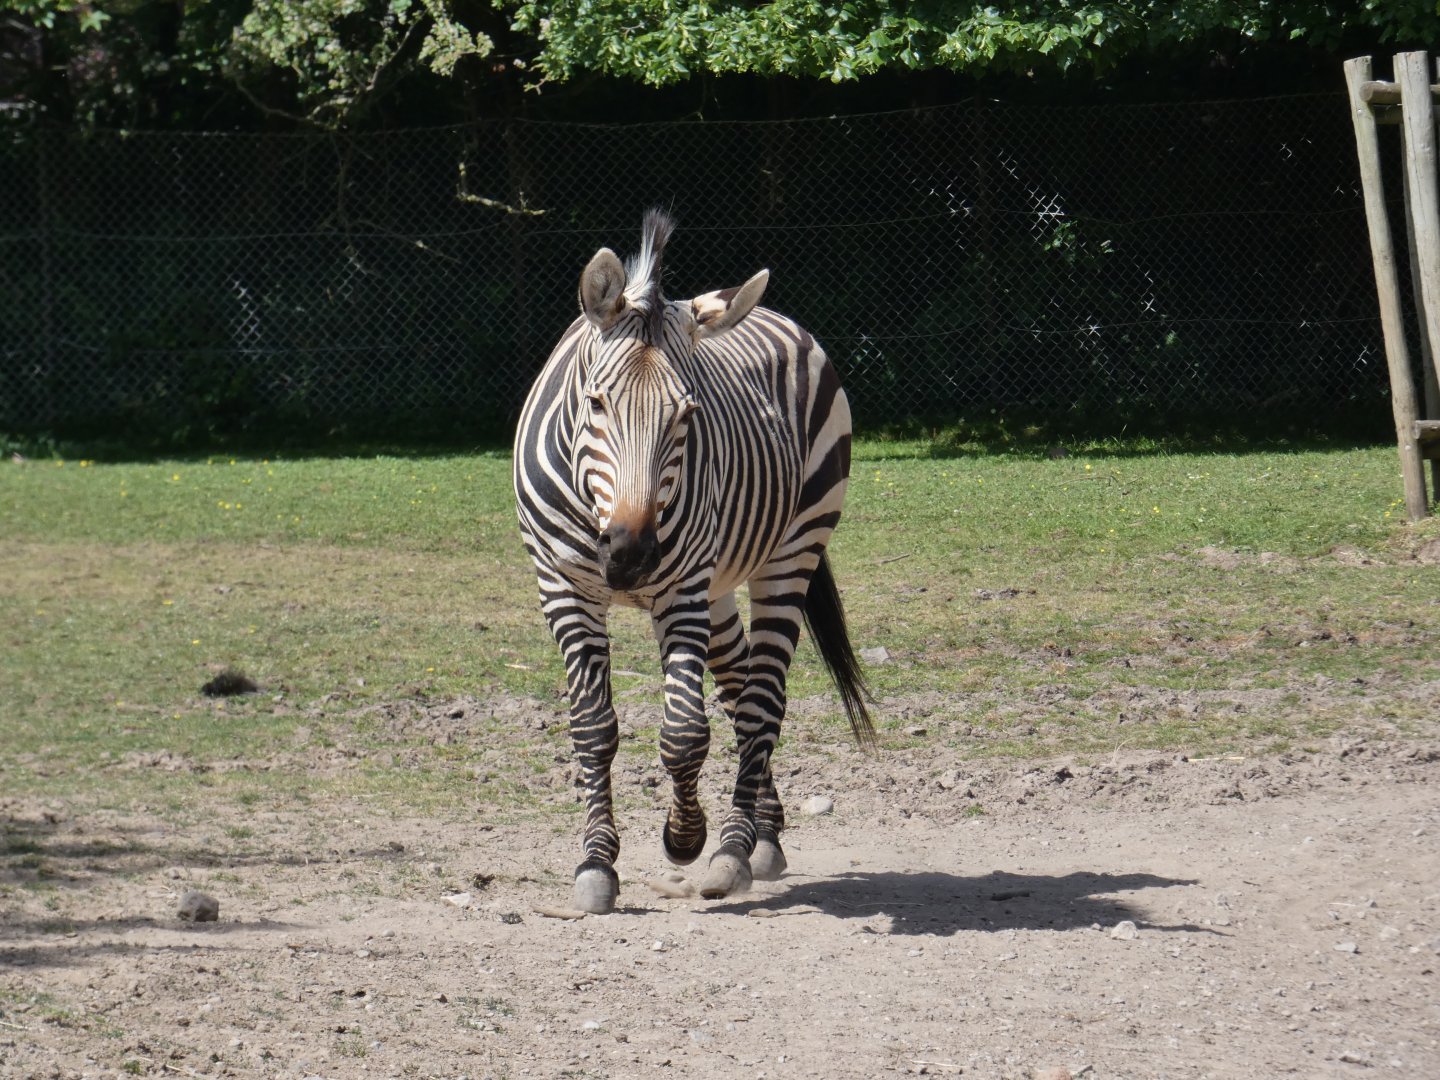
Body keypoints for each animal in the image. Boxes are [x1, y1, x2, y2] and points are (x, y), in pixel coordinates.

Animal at [513, 209, 874, 914]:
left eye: (688, 413)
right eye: (595, 403)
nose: (629, 555)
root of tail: (776, 315)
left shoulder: (681, 588)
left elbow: (684, 733)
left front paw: (685, 838)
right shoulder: (563, 586)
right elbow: (593, 727)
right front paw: (596, 864)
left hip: (788, 553)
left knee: (761, 699)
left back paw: (735, 848)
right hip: (720, 585)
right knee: (738, 684)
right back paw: (765, 833)